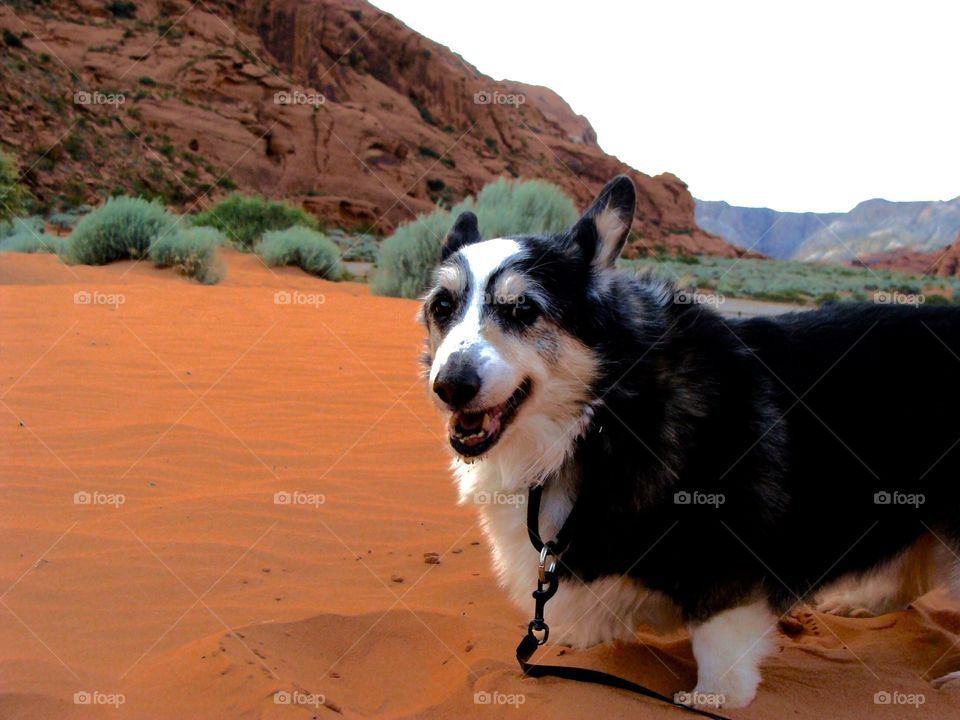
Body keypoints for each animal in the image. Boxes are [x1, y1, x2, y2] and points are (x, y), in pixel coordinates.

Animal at [420, 176, 960, 708]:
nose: (451, 386)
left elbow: (718, 646)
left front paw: (710, 699)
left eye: (524, 308)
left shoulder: (725, 559)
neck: (604, 412)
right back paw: (861, 604)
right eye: (441, 307)